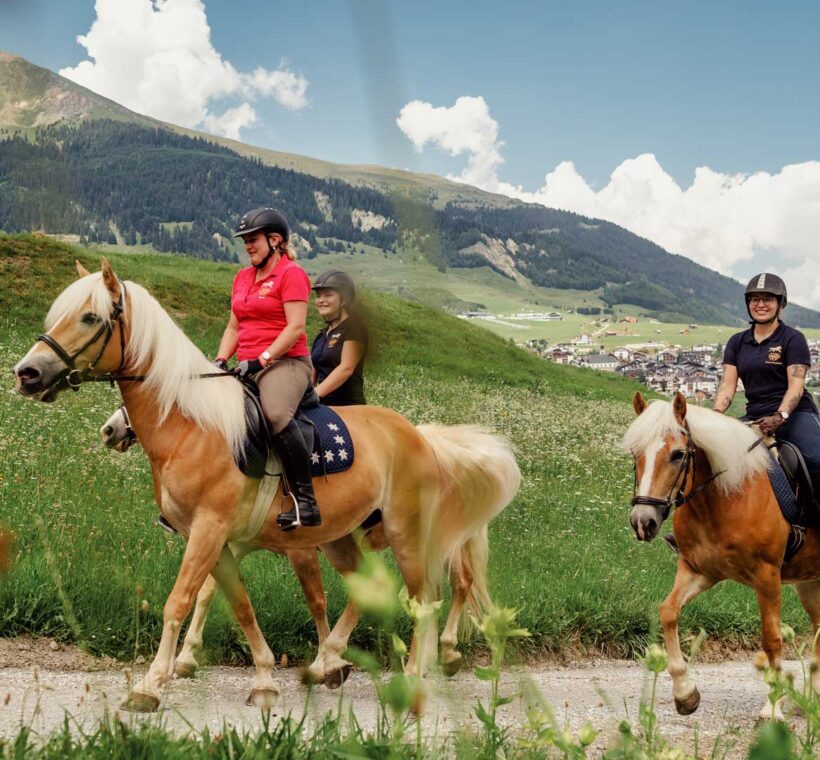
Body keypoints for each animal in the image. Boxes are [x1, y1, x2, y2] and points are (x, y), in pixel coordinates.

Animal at [99, 406, 480, 684]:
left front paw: (326, 662)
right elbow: (209, 590)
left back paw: (444, 653)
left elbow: (316, 600)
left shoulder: (301, 551)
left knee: (459, 583)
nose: (110, 429)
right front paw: (187, 657)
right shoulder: (232, 542)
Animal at [620, 394, 820, 720]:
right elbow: (668, 612)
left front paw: (773, 706)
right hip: (809, 583)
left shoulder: (767, 576)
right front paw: (685, 693)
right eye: (636, 453)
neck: (725, 496)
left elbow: (772, 638)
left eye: (678, 454)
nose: (642, 521)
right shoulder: (698, 570)